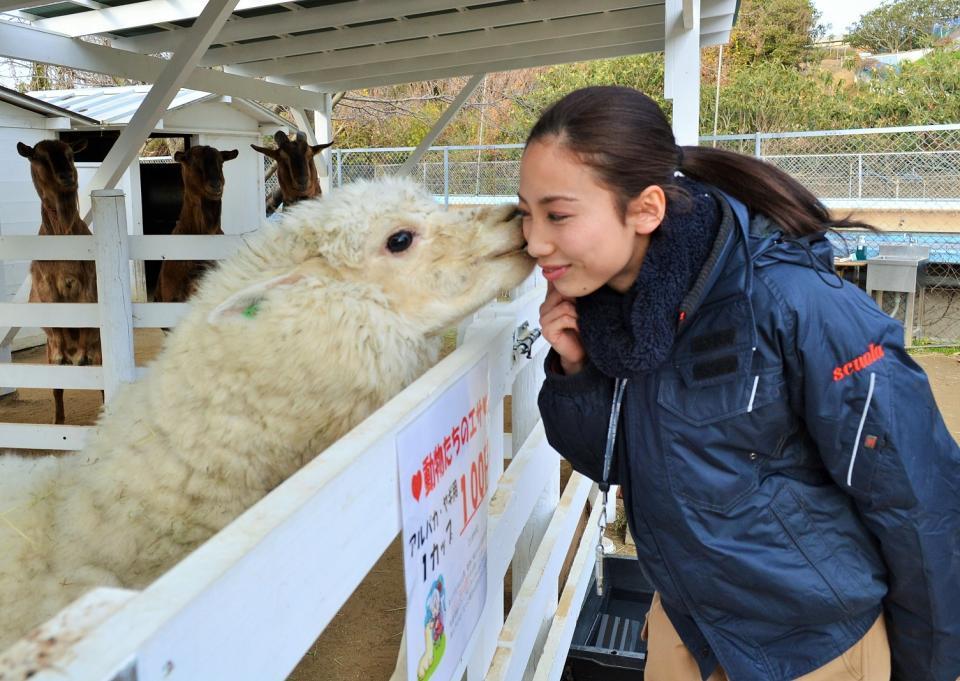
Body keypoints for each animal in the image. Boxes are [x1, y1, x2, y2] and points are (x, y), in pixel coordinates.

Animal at [16, 139, 102, 424]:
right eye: (39, 157)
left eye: (70, 154)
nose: (68, 177)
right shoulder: (46, 287)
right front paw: (64, 354)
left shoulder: (89, 282)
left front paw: (81, 354)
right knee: (57, 387)